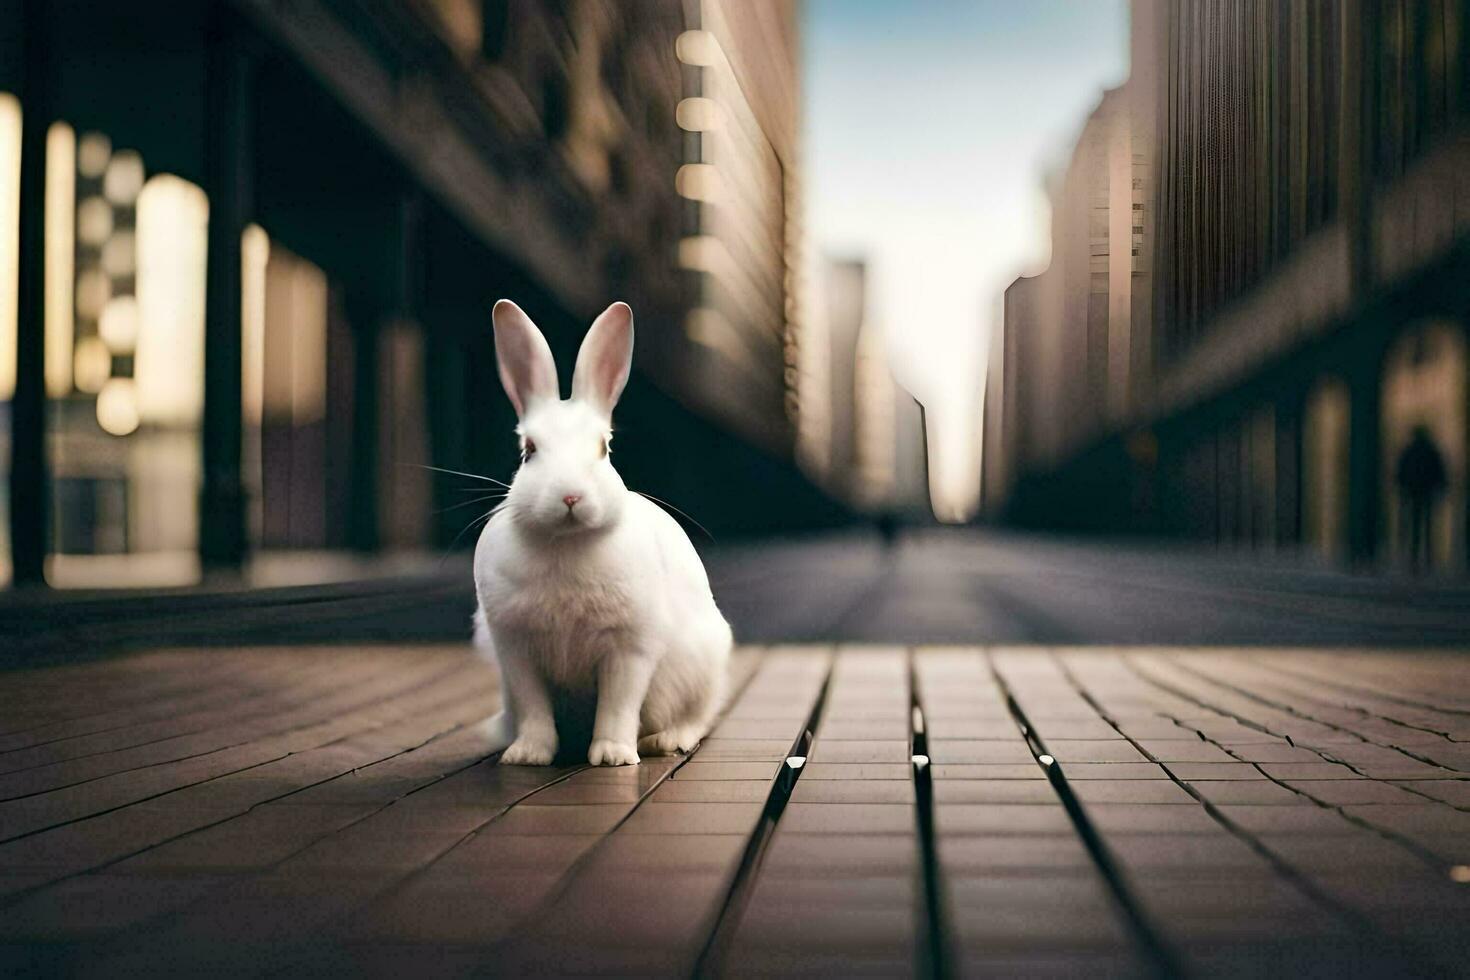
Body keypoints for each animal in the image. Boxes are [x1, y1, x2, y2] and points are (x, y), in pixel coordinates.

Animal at [473, 299, 732, 764]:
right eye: (528, 450)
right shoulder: (515, 650)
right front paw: (528, 755)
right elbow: (533, 707)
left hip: (701, 667)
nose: (570, 496)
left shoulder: (629, 648)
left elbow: (618, 704)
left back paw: (665, 741)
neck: (566, 543)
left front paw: (613, 755)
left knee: (700, 717)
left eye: (604, 447)